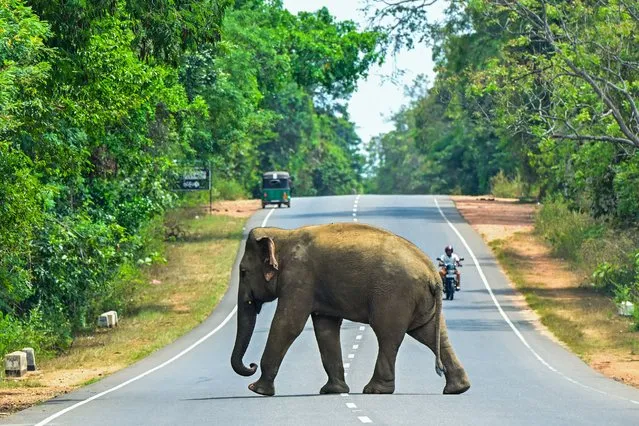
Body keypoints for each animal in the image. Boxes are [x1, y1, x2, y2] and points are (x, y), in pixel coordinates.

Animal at [230, 223, 470, 396]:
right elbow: (325, 328)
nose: (250, 365)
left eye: (243, 272)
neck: (283, 235)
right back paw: (457, 388)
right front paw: (333, 391)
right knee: (430, 333)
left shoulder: (299, 278)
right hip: (419, 301)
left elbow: (287, 324)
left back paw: (375, 390)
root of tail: (432, 272)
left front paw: (257, 390)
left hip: (394, 295)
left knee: (388, 334)